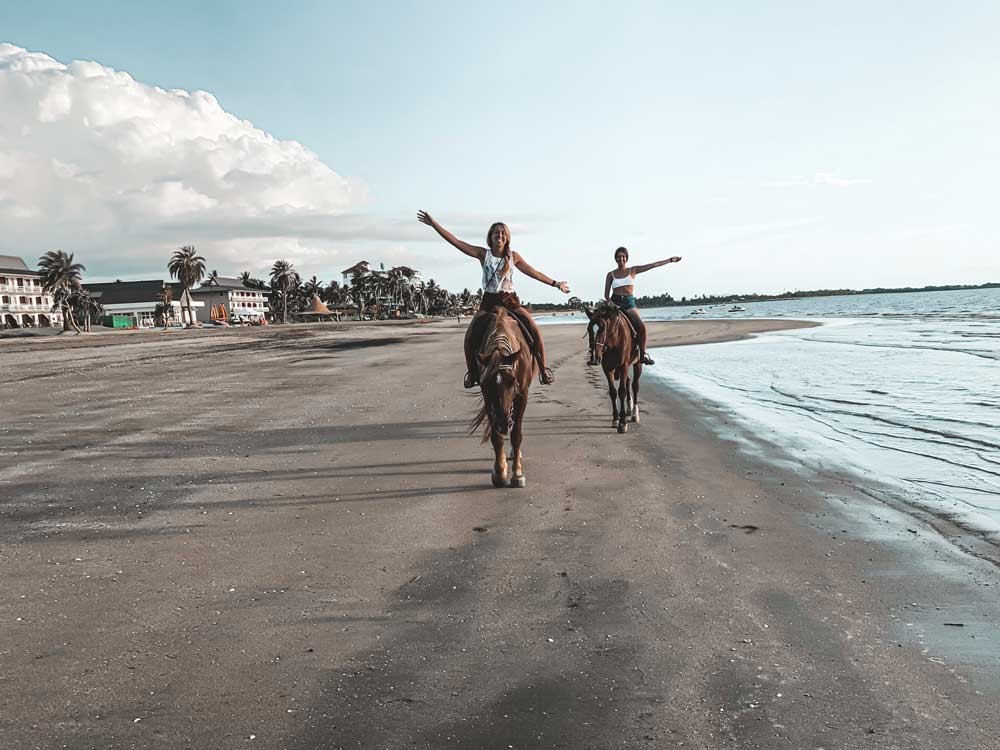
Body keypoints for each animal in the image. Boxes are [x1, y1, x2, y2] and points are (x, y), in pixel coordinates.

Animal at [466, 310, 536, 490]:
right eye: (486, 383)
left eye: (512, 380)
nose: (503, 423)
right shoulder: (488, 399)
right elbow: (496, 437)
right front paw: (500, 472)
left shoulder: (522, 395)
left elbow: (516, 434)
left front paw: (517, 474)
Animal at [588, 306, 644, 434]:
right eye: (589, 330)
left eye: (603, 329)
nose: (594, 357)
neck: (613, 341)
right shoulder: (607, 368)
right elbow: (613, 392)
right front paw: (615, 419)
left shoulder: (623, 366)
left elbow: (621, 391)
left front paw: (622, 423)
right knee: (628, 381)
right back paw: (629, 408)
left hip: (637, 364)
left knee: (635, 385)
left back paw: (634, 413)